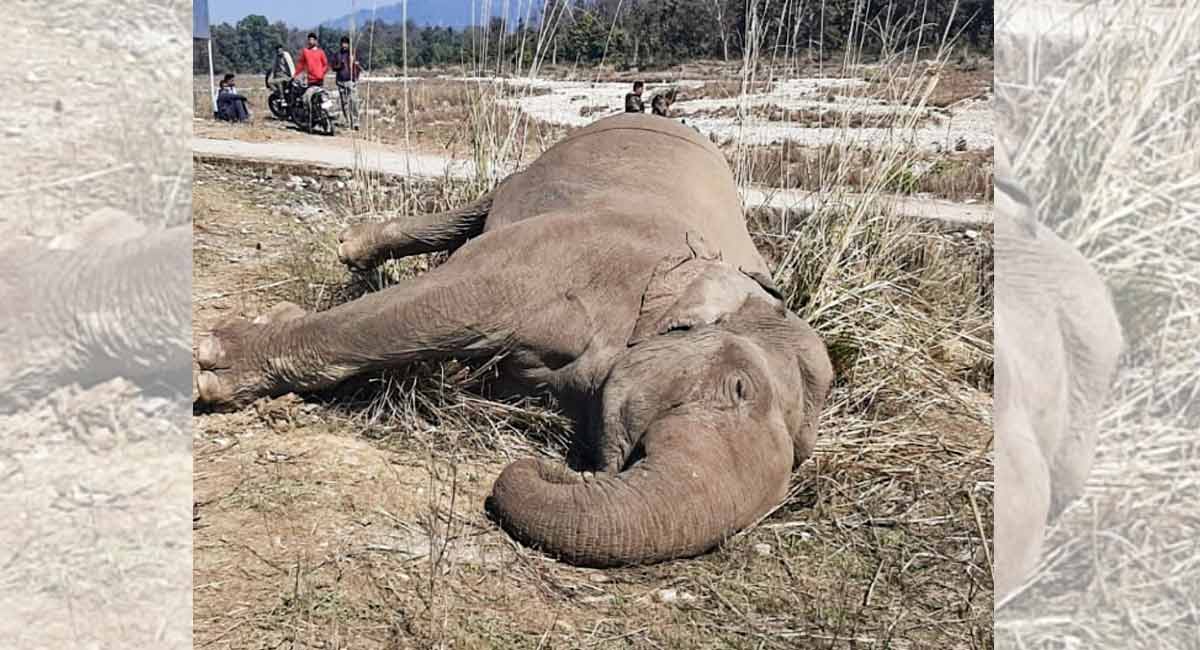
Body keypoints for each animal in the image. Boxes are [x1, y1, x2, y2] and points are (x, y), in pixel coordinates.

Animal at [193, 113, 835, 567]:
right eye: (739, 387)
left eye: (800, 460)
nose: (550, 465)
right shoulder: (568, 253)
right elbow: (444, 301)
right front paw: (215, 362)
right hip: (550, 158)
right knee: (475, 210)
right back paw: (353, 248)